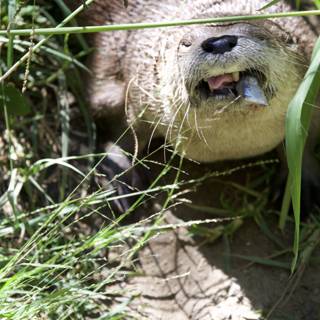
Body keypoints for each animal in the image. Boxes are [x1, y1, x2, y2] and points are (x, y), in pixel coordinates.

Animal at [70, 1, 320, 212]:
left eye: (258, 33)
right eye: (186, 43)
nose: (219, 42)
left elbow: (305, 138)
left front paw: (299, 184)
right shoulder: (132, 92)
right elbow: (121, 129)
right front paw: (119, 180)